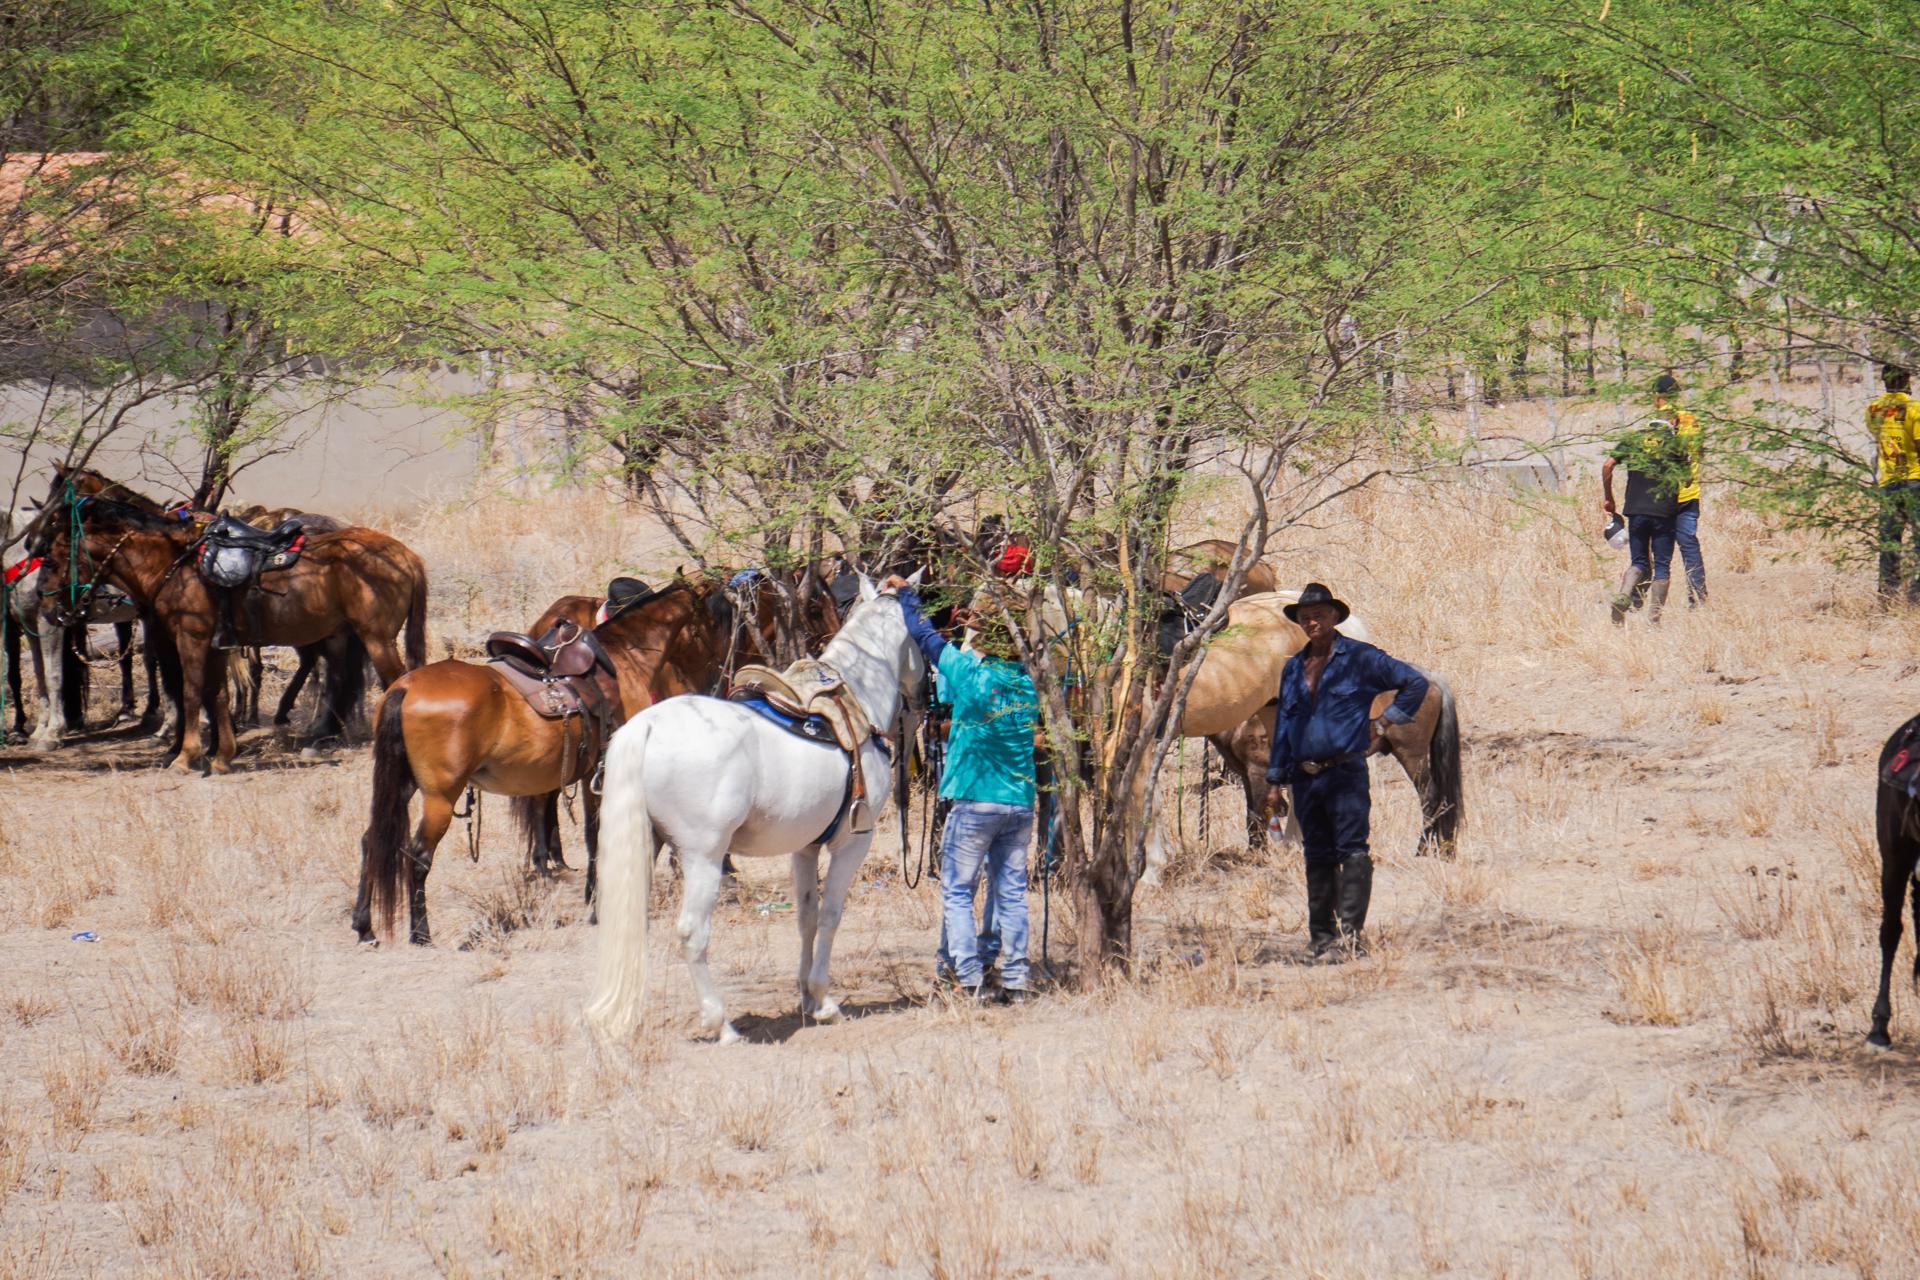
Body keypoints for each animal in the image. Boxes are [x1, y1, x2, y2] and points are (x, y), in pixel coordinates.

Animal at [32, 493, 426, 773]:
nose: (46, 606)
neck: (175, 565)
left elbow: (191, 692)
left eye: (50, 559)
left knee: (392, 682)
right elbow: (217, 694)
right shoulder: (217, 646)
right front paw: (221, 756)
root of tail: (407, 556)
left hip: (376, 639)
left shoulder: (191, 638)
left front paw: (185, 757)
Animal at [354, 578, 736, 946]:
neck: (625, 660)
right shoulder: (610, 771)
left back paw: (365, 927)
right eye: (718, 621)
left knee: (372, 840)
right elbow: (601, 834)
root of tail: (404, 687)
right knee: (418, 856)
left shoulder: (590, 773)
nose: (720, 675)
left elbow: (592, 834)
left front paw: (592, 897)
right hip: (440, 797)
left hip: (402, 785)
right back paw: (420, 933)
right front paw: (600, 905)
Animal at [584, 578, 925, 1042]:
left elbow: (807, 916)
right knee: (693, 932)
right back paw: (721, 1024)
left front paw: (807, 998)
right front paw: (825, 1001)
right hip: (704, 858)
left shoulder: (805, 847)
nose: (925, 691)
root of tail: (647, 726)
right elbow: (832, 915)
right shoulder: (854, 841)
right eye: (923, 621)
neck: (856, 701)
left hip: (647, 847)